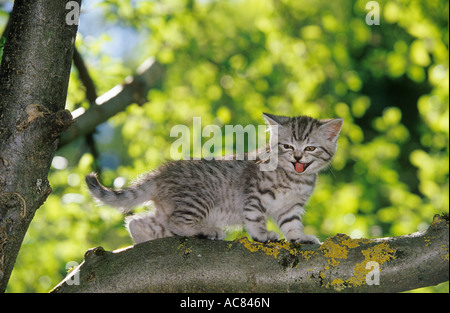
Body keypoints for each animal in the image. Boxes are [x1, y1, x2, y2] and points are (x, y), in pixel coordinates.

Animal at [86, 112, 342, 244]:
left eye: (310, 148)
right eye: (287, 146)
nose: (297, 157)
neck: (294, 178)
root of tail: (162, 172)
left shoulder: (290, 207)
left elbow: (292, 224)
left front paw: (300, 237)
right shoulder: (253, 194)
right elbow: (256, 218)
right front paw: (262, 234)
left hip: (166, 210)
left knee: (138, 222)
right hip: (199, 199)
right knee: (177, 221)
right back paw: (207, 230)